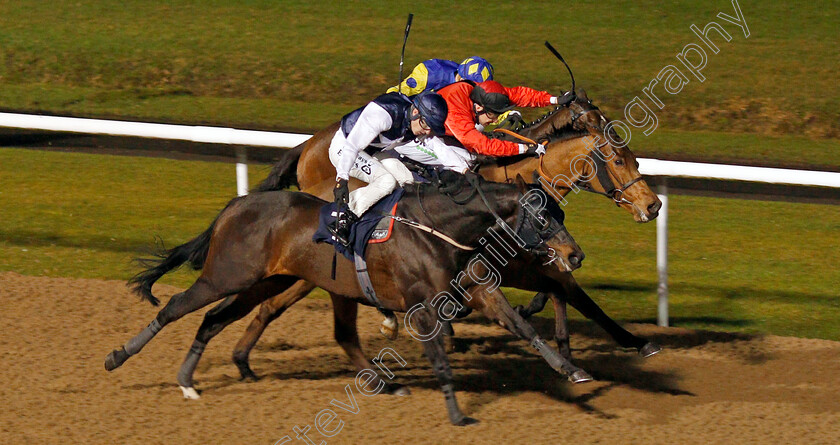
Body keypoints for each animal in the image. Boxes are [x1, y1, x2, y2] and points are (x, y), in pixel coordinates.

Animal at [105, 177, 588, 424]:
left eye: (561, 211)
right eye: (542, 214)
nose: (574, 255)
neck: (441, 228)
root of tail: (235, 204)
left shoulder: (475, 290)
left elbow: (522, 327)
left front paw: (571, 370)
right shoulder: (422, 305)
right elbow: (439, 359)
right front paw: (456, 414)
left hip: (268, 281)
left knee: (214, 320)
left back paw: (189, 379)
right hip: (227, 274)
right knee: (175, 307)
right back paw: (119, 357)